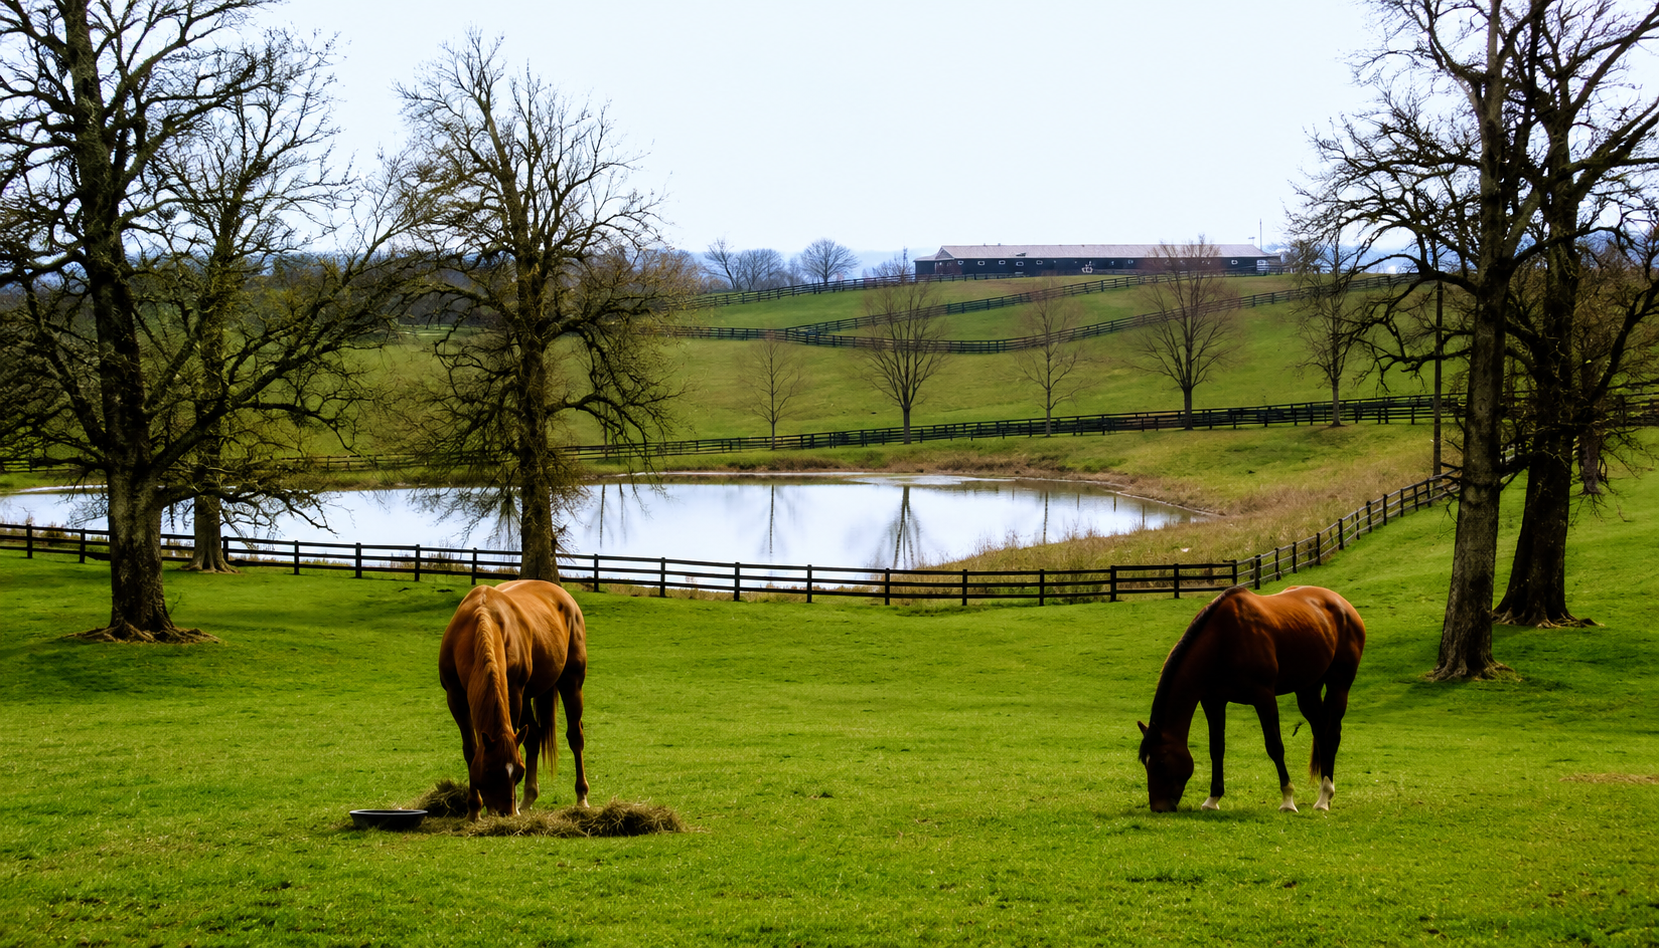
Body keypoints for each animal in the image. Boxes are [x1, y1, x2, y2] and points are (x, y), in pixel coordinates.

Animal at [438, 579, 589, 821]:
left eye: (518, 772)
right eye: (488, 771)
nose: (505, 812)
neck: (478, 622)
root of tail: (562, 593)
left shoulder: (514, 692)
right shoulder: (455, 697)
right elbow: (470, 750)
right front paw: (473, 810)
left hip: (571, 683)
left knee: (575, 737)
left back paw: (581, 796)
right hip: (528, 696)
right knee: (534, 736)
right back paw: (528, 799)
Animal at [1136, 585, 1365, 814]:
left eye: (1160, 763)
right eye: (1145, 763)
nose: (1159, 807)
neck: (1222, 640)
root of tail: (1343, 605)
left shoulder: (1264, 697)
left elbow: (1275, 746)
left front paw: (1288, 800)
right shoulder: (1213, 702)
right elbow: (1216, 748)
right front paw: (1213, 799)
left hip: (1339, 685)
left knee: (1332, 735)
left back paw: (1324, 798)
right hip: (1307, 691)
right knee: (1320, 732)